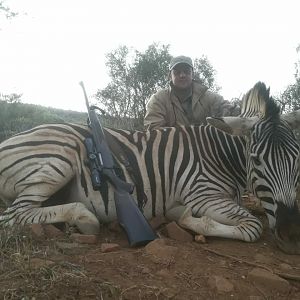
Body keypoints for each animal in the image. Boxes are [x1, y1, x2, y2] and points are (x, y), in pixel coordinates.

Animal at [0, 82, 298, 253]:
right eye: (256, 160)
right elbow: (252, 227)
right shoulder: (203, 196)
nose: (290, 234)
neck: (218, 153)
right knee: (14, 215)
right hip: (60, 160)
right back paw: (84, 217)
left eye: (297, 160)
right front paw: (184, 217)